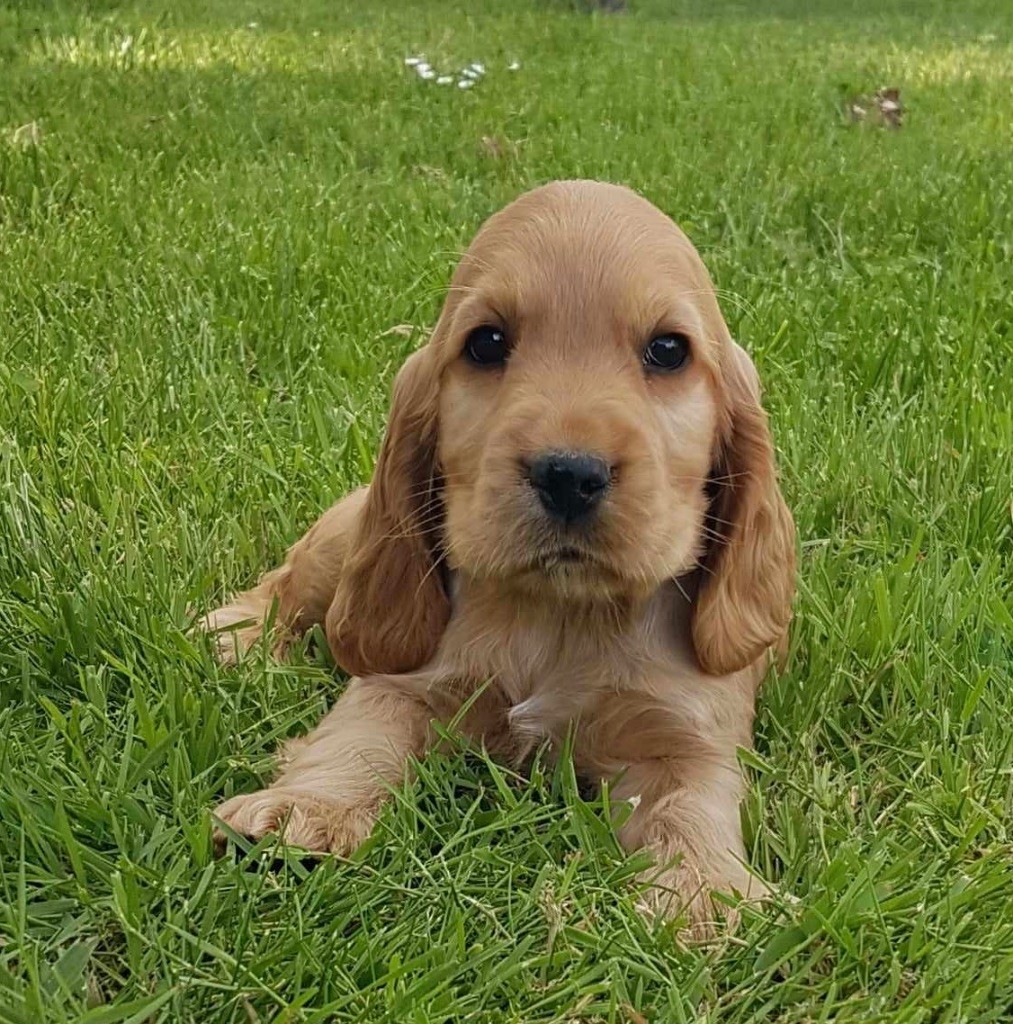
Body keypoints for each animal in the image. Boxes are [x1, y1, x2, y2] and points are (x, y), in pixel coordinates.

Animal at [205, 180, 794, 933]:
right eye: (487, 342)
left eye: (667, 349)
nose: (568, 474)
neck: (558, 614)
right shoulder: (406, 682)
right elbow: (357, 739)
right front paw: (302, 813)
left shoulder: (686, 737)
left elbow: (690, 807)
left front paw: (702, 896)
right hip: (346, 540)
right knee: (289, 581)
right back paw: (235, 635)